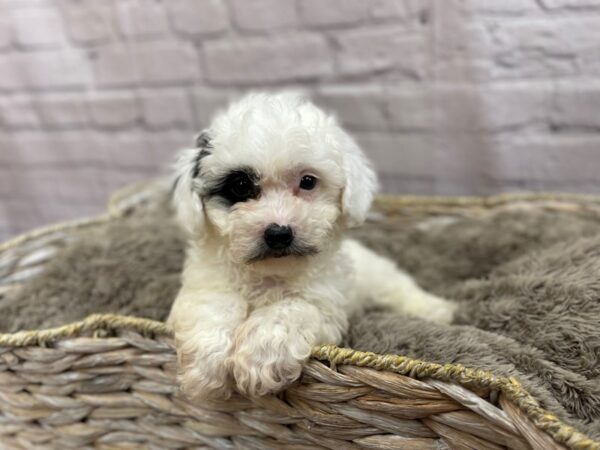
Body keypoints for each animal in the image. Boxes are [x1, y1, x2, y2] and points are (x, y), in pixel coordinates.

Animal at [169, 90, 454, 398]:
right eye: (241, 185)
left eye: (307, 181)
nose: (279, 233)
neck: (270, 274)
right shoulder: (206, 283)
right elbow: (212, 305)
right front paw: (206, 370)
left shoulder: (327, 304)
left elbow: (293, 309)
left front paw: (260, 358)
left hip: (380, 279)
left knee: (400, 289)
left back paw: (437, 310)